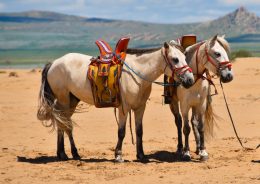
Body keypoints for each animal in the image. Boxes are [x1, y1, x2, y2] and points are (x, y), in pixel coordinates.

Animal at [37, 41, 194, 161]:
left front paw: (141, 155)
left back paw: (69, 153)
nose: (190, 80)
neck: (138, 73)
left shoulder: (140, 107)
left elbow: (139, 131)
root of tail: (53, 63)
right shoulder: (124, 108)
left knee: (64, 124)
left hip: (71, 100)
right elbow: (121, 132)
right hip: (63, 99)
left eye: (185, 58)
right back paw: (65, 154)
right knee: (64, 124)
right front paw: (118, 155)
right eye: (175, 59)